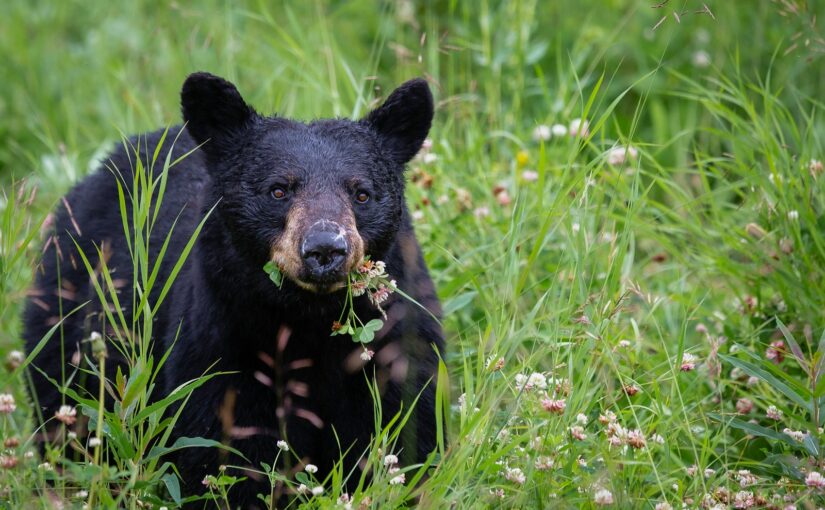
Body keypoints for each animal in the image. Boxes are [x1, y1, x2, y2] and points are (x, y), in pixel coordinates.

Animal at [22, 73, 444, 508]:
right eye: (278, 190)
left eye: (361, 193)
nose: (325, 248)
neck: (308, 320)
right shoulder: (221, 343)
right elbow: (225, 449)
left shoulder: (395, 343)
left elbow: (404, 430)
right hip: (66, 315)